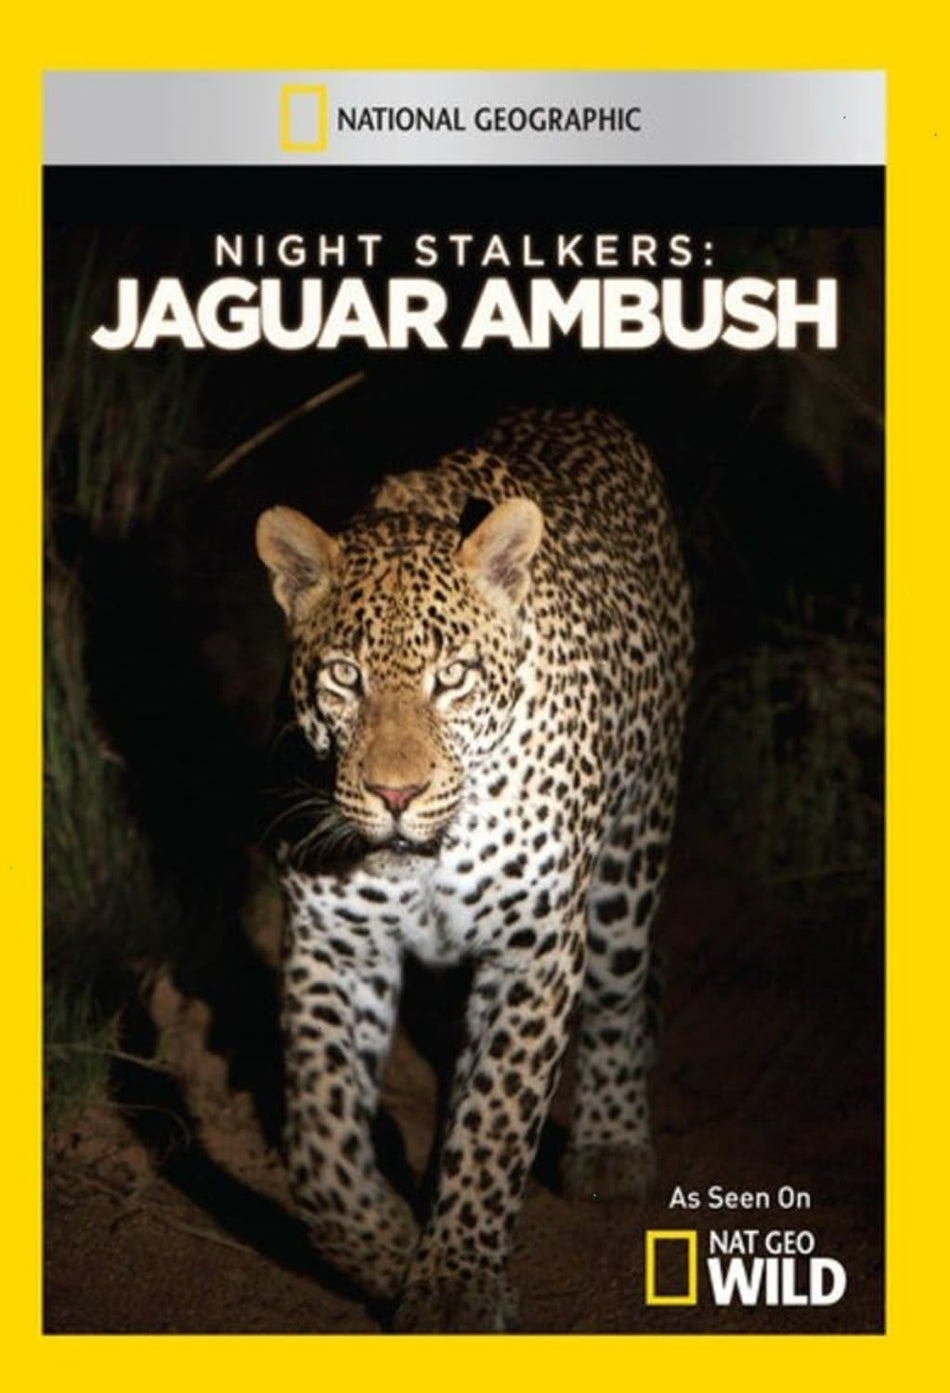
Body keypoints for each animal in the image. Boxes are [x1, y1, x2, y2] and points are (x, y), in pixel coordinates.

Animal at [255, 406, 693, 1332]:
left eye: (450, 677)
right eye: (344, 677)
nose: (395, 791)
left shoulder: (535, 948)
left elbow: (498, 1118)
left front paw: (455, 1280)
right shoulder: (332, 943)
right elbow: (320, 1133)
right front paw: (383, 1244)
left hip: (632, 854)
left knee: (624, 988)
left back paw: (611, 1144)